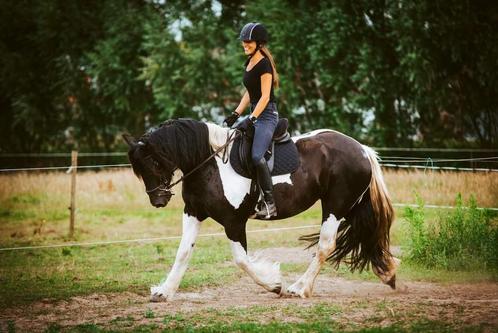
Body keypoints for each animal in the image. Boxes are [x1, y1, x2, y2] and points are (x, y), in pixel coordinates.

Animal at [125, 118, 400, 300]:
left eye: (153, 162)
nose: (158, 200)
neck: (210, 165)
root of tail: (362, 149)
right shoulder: (193, 212)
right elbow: (183, 253)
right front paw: (164, 291)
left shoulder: (234, 221)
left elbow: (241, 260)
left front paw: (274, 284)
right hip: (351, 206)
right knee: (368, 235)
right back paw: (388, 275)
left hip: (335, 206)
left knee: (325, 245)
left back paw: (299, 288)